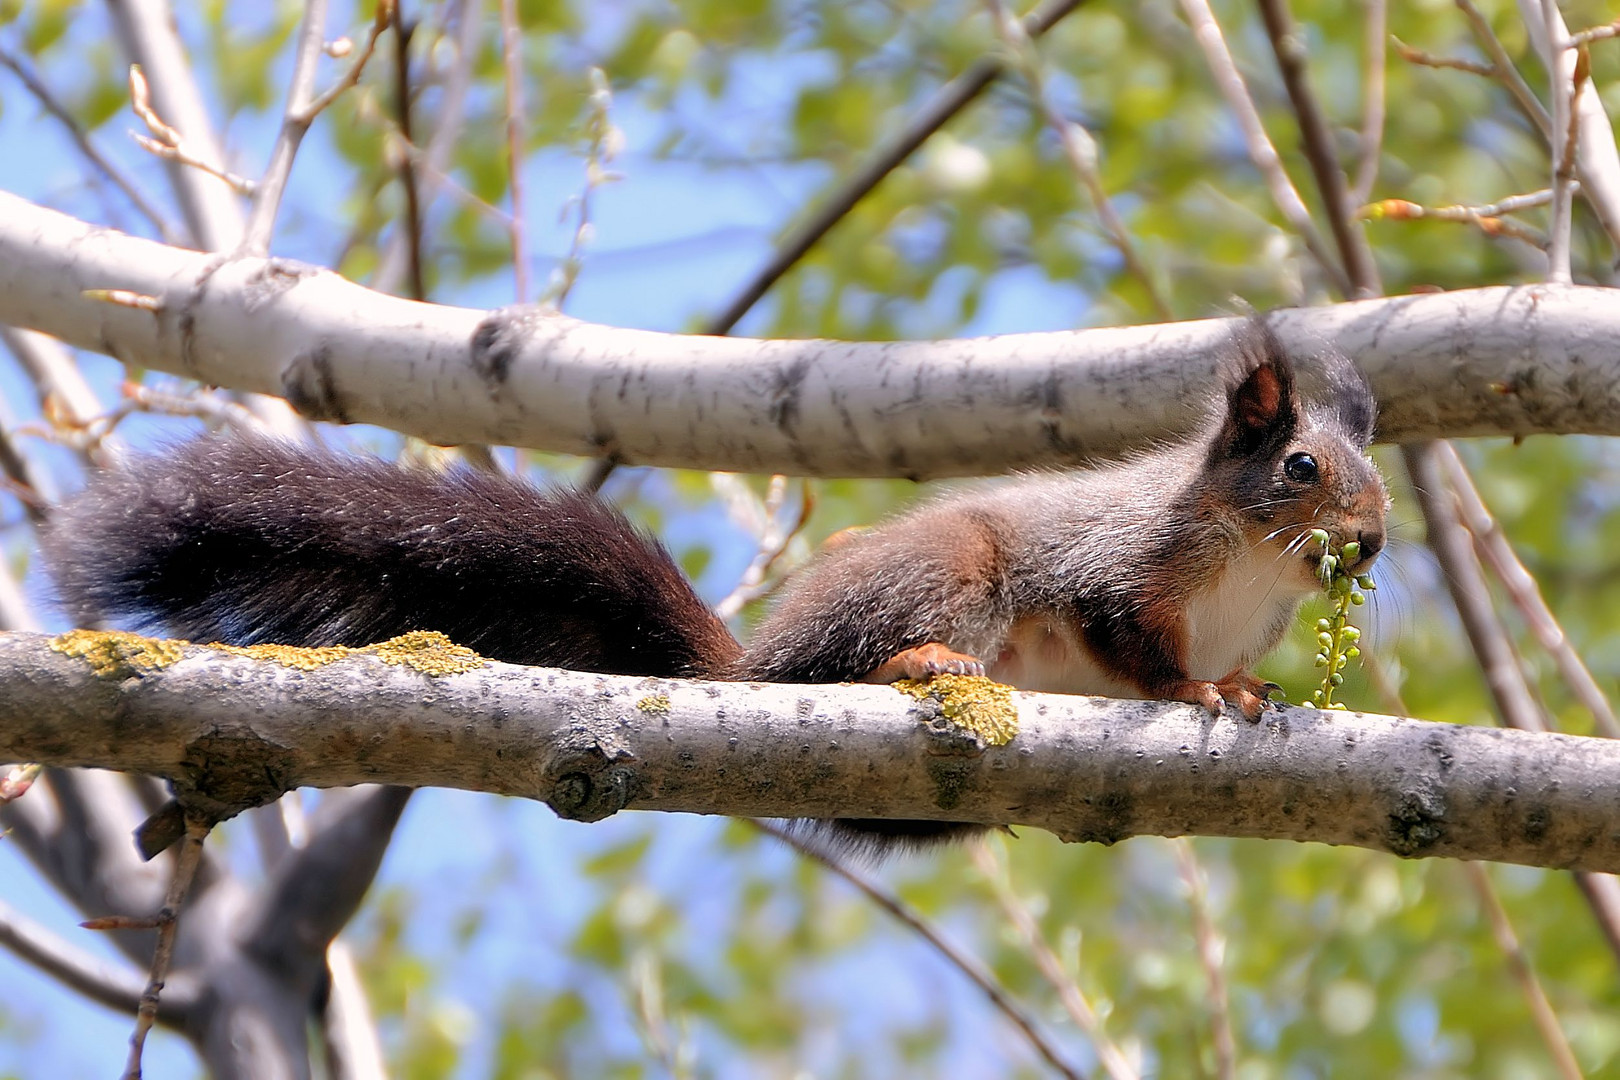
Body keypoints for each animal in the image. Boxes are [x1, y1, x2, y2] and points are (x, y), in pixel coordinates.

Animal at [50, 317, 1393, 854]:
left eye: (1378, 474)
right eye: (1302, 467)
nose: (1375, 543)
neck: (1248, 562)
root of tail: (753, 666)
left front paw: (1250, 690)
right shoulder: (1124, 562)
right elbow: (1134, 641)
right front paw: (1195, 695)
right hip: (946, 573)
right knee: (863, 659)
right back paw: (919, 665)